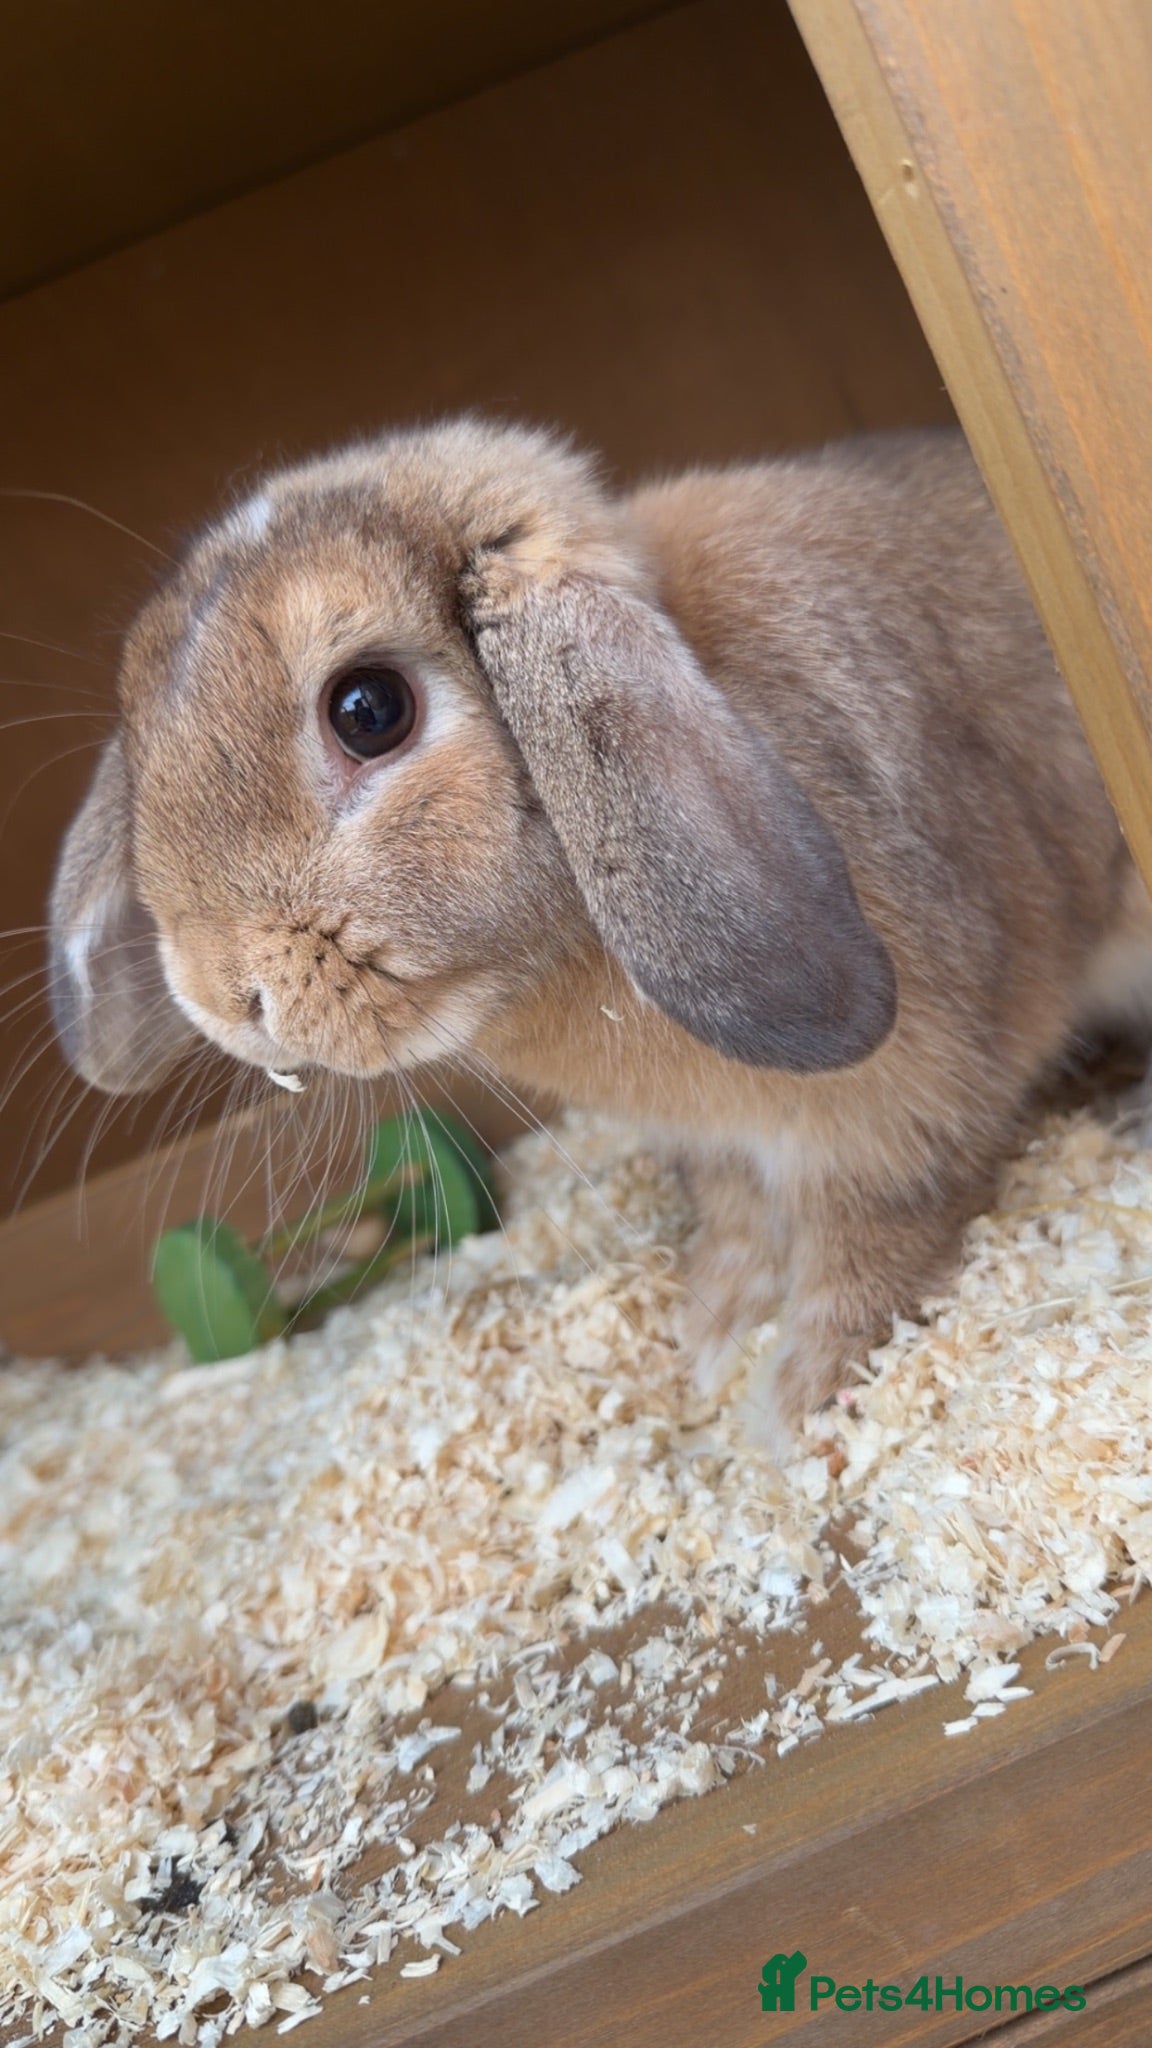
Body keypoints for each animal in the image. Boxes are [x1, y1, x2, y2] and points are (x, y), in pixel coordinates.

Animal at [48, 417, 1152, 1453]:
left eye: (369, 710)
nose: (223, 990)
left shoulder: (901, 1119)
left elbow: (869, 1241)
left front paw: (796, 1400)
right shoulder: (728, 1147)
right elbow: (742, 1222)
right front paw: (709, 1334)